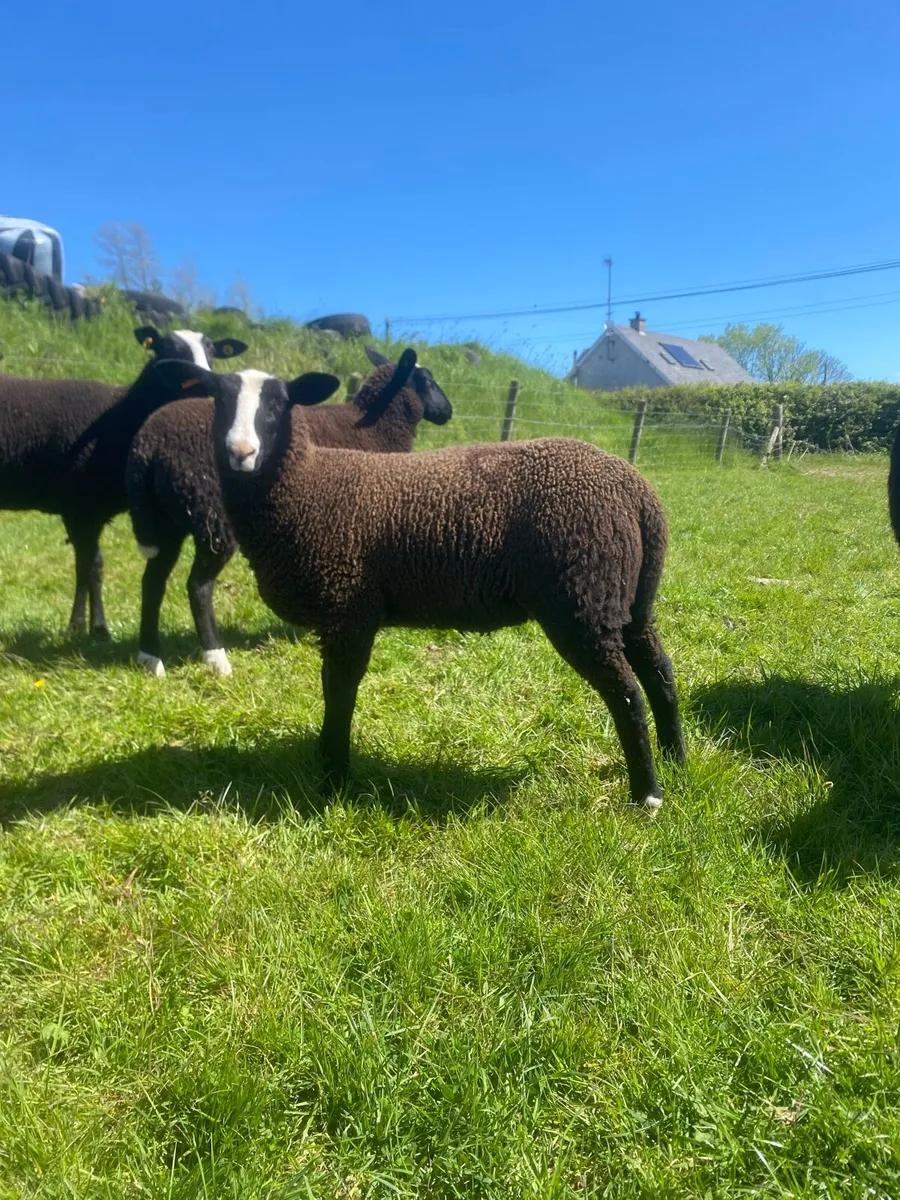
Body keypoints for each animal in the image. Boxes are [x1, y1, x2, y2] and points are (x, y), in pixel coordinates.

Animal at [0, 326, 247, 638]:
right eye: (167, 349)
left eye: (212, 351)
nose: (207, 383)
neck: (121, 415)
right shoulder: (78, 508)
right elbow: (93, 567)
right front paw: (95, 629)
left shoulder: (90, 512)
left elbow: (83, 567)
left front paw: (79, 628)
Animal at [125, 345, 452, 678]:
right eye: (427, 381)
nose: (447, 411)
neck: (376, 426)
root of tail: (147, 444)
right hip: (212, 518)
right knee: (198, 586)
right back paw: (217, 659)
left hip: (167, 518)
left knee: (153, 581)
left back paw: (150, 657)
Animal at [153, 352, 686, 811]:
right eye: (220, 400)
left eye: (278, 404)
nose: (240, 452)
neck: (304, 484)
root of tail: (638, 493)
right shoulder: (342, 615)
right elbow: (334, 691)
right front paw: (328, 764)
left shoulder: (349, 609)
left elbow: (339, 692)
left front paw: (334, 780)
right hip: (623, 597)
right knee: (659, 671)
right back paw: (678, 761)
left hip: (580, 598)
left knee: (626, 692)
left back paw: (648, 796)